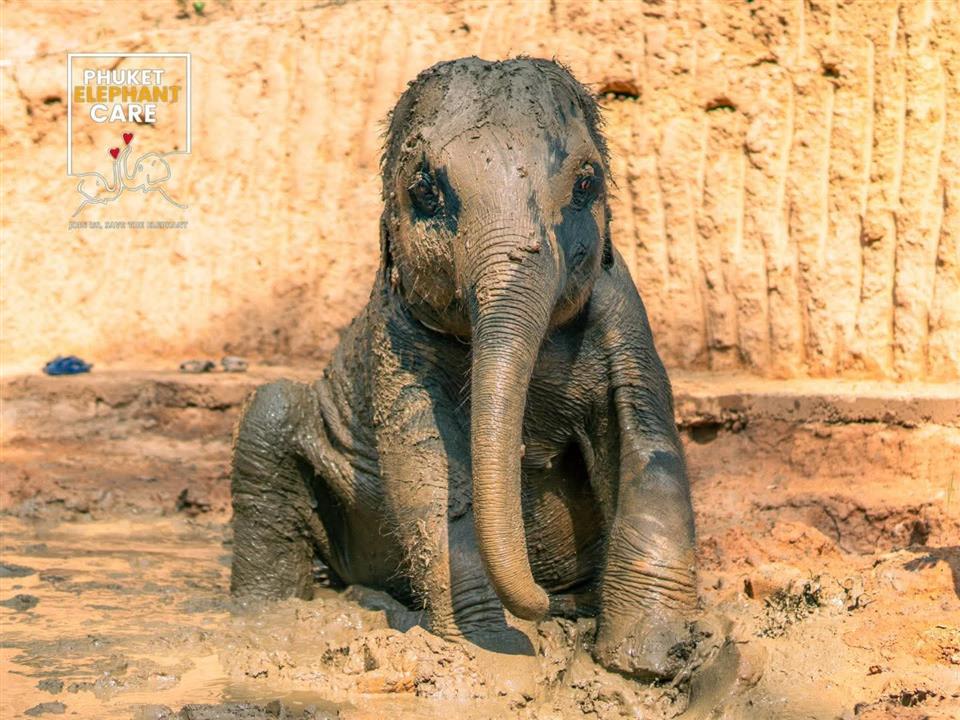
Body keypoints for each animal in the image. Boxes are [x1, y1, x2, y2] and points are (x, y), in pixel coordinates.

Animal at [230, 56, 699, 680]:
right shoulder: (397, 335)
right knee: (269, 414)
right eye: (425, 192)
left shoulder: (624, 315)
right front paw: (490, 651)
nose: (544, 605)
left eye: (586, 185)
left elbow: (647, 446)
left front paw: (649, 660)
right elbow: (428, 465)